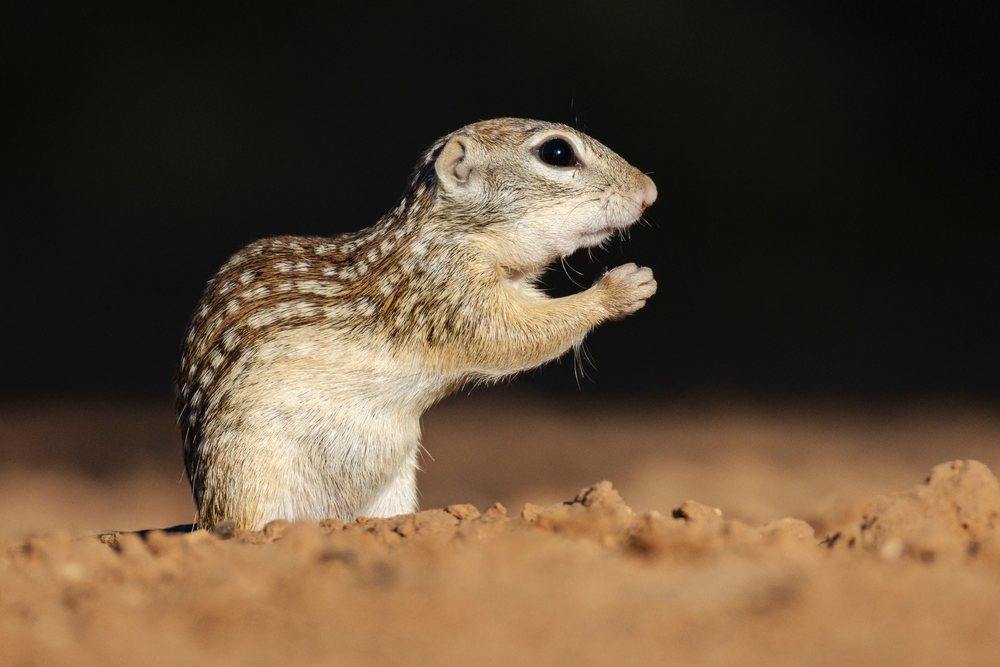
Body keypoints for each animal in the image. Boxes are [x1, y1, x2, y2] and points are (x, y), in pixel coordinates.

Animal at [176, 118, 658, 531]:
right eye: (556, 152)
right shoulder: (449, 292)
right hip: (251, 479)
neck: (451, 233)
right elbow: (514, 335)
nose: (650, 191)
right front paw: (620, 289)